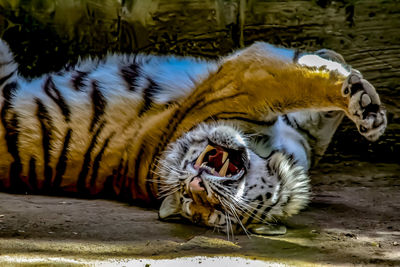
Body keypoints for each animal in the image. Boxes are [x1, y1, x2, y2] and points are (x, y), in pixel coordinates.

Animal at [0, 38, 386, 236]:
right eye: (194, 202)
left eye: (213, 210)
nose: (198, 186)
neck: (273, 151)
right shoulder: (249, 76)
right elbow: (305, 81)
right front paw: (360, 99)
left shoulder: (303, 131)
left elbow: (322, 104)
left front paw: (365, 110)